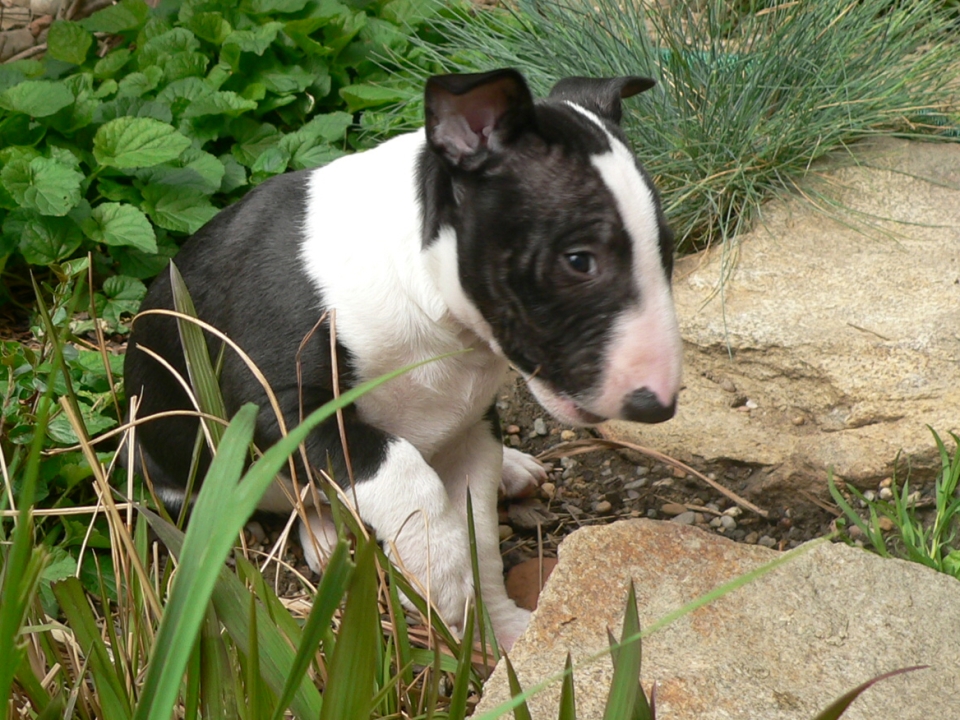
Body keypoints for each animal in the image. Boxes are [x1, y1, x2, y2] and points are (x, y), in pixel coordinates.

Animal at [124, 68, 682, 650]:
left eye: (665, 251)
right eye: (578, 260)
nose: (658, 405)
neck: (427, 307)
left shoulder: (471, 427)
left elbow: (480, 535)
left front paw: (497, 630)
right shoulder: (277, 406)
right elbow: (393, 462)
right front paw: (441, 572)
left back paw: (511, 469)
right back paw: (326, 537)